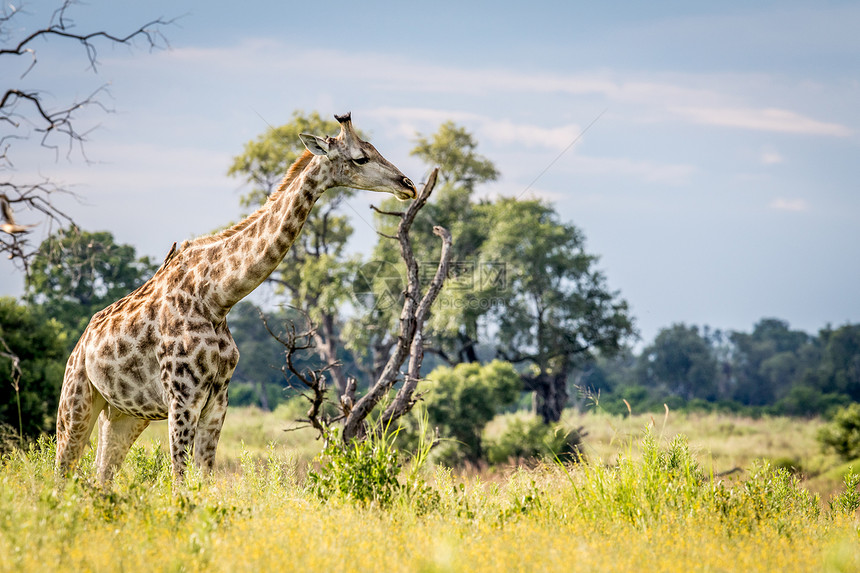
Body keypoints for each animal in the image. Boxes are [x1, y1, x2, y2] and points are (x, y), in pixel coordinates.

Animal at [54, 113, 416, 482]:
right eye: (361, 158)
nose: (408, 185)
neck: (217, 298)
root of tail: (82, 342)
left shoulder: (217, 401)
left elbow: (205, 478)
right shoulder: (182, 398)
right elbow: (180, 479)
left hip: (122, 414)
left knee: (101, 475)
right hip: (76, 402)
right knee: (62, 472)